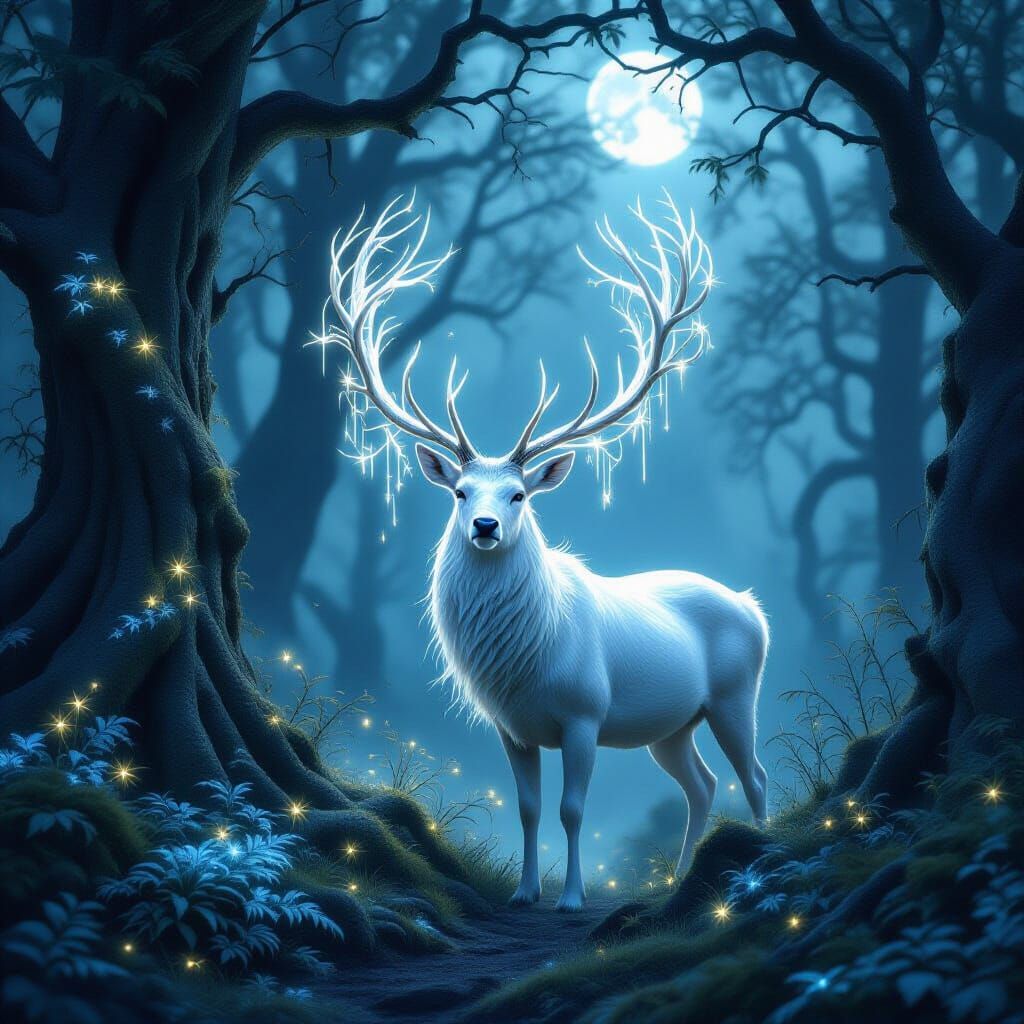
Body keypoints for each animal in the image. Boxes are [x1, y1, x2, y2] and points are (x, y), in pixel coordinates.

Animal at [312, 194, 769, 912]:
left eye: (520, 493)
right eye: (461, 491)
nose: (486, 526)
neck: (524, 662)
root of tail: (753, 606)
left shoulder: (585, 714)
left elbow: (572, 809)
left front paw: (572, 898)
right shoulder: (511, 727)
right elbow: (528, 809)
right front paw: (525, 893)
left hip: (733, 695)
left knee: (754, 776)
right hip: (672, 725)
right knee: (702, 784)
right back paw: (679, 879)